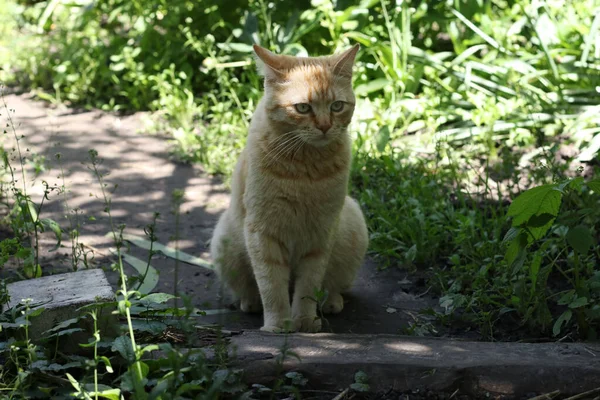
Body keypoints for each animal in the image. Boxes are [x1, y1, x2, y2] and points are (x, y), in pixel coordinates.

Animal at [211, 43, 370, 332]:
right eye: (303, 108)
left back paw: (331, 302)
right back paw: (250, 302)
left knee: (335, 286)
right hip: (224, 243)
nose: (325, 126)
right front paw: (278, 326)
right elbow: (271, 285)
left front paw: (305, 322)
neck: (305, 170)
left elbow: (308, 285)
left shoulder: (321, 233)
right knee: (247, 289)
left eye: (337, 106)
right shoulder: (262, 232)